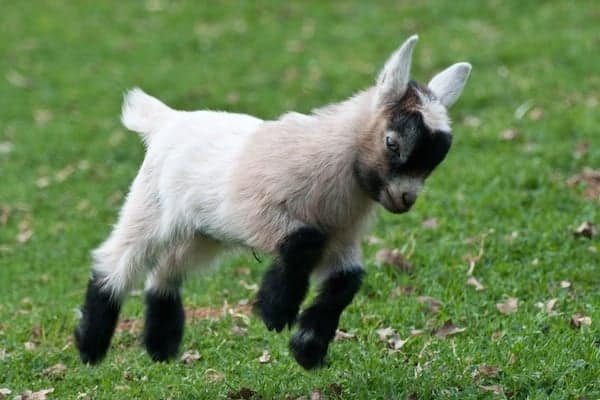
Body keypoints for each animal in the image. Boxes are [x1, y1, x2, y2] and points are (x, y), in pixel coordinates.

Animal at [75, 36, 472, 370]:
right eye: (393, 143)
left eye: (433, 163)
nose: (406, 199)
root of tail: (166, 119)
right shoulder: (255, 210)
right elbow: (303, 241)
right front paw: (275, 311)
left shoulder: (341, 237)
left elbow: (347, 280)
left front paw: (308, 347)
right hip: (151, 207)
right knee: (116, 259)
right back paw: (90, 346)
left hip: (203, 233)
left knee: (166, 269)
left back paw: (161, 345)